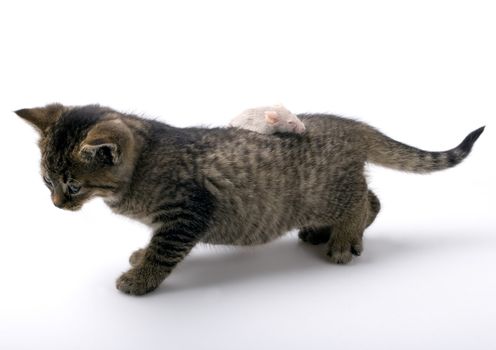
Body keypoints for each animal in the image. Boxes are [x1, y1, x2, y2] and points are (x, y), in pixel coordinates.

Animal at [16, 103, 484, 296]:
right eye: (46, 181)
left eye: (73, 186)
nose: (57, 204)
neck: (145, 161)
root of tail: (346, 123)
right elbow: (154, 243)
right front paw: (140, 256)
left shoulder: (187, 213)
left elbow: (164, 251)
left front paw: (141, 278)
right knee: (374, 199)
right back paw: (326, 232)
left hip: (328, 189)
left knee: (362, 201)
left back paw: (343, 239)